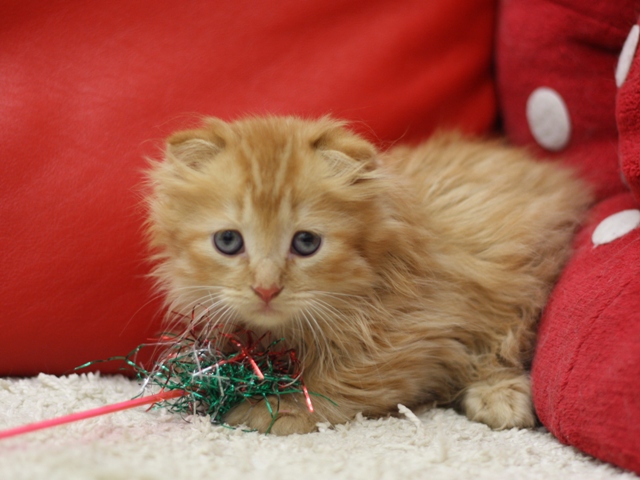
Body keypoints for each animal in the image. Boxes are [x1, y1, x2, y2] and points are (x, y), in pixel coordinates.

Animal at [145, 116, 592, 436]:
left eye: (305, 242)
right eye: (228, 241)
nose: (266, 288)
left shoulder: (420, 333)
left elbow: (342, 382)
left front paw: (273, 409)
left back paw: (501, 399)